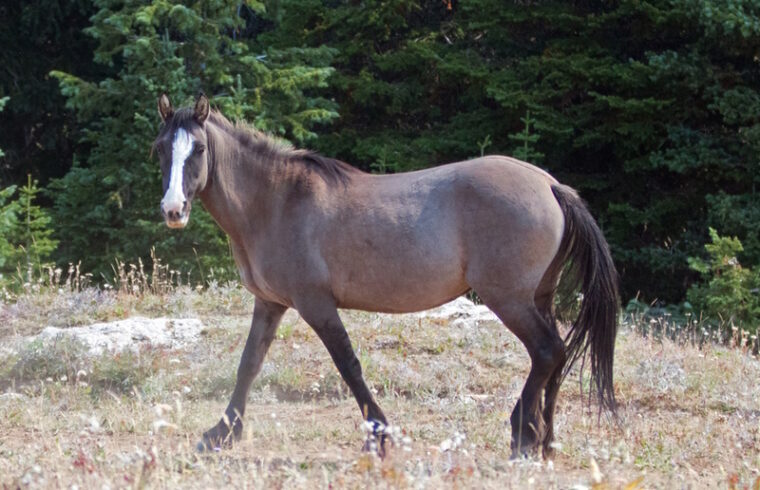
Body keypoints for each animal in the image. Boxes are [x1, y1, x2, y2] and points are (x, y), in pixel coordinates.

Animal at [153, 94, 616, 458]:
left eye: (198, 148)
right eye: (161, 150)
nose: (173, 210)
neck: (276, 202)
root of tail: (550, 185)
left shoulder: (315, 304)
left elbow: (349, 365)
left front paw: (378, 435)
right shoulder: (270, 303)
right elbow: (249, 363)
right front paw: (222, 433)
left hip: (510, 299)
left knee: (547, 351)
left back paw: (524, 434)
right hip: (538, 297)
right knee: (557, 354)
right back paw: (546, 439)